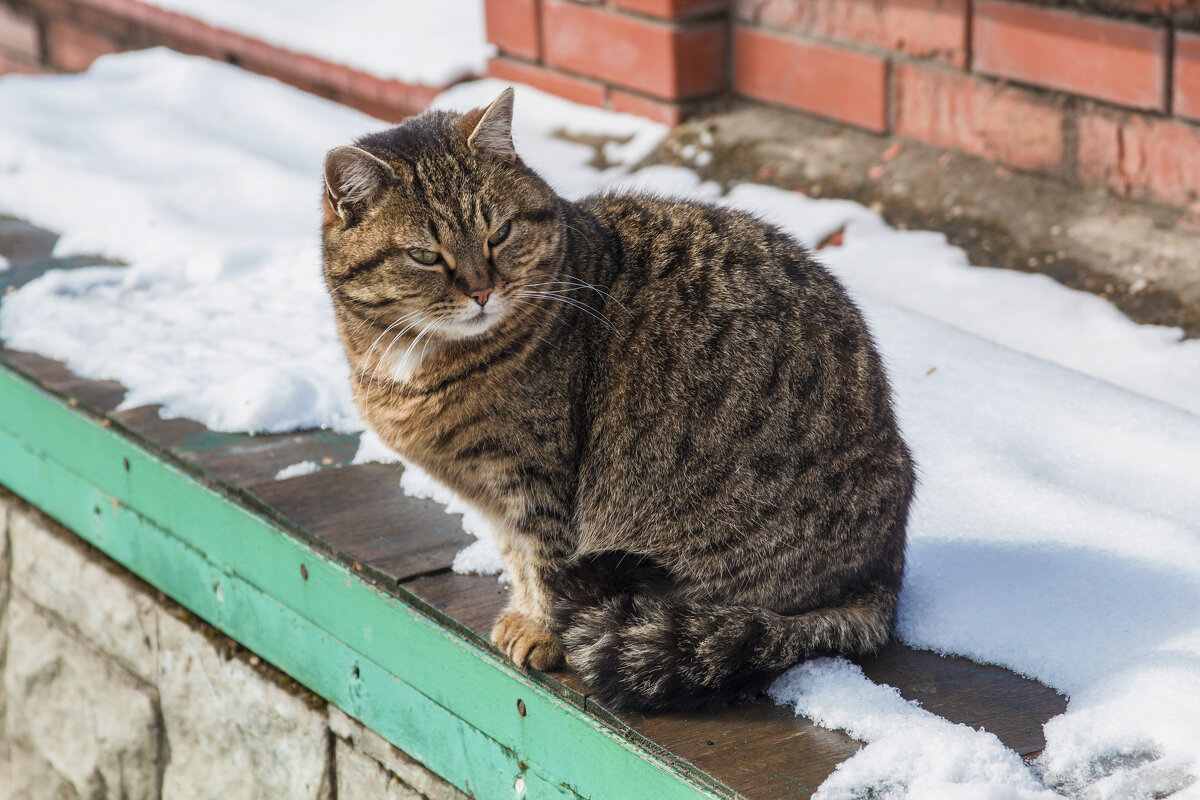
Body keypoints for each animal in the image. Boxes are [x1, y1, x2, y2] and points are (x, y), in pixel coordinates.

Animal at [324, 89, 912, 714]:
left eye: (500, 233)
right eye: (425, 256)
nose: (482, 290)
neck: (415, 365)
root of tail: (884, 577)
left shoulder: (537, 476)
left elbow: (544, 557)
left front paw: (542, 631)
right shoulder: (492, 492)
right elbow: (516, 554)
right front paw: (524, 613)